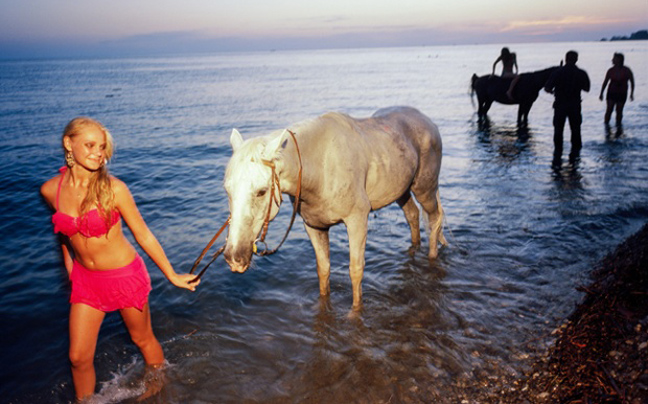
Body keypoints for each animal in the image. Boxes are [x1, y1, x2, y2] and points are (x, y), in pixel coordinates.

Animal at [224, 105, 446, 310]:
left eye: (261, 191)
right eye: (227, 190)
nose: (234, 257)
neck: (321, 166)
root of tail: (426, 120)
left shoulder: (357, 220)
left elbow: (356, 271)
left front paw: (355, 312)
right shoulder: (314, 226)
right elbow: (323, 270)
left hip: (424, 188)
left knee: (434, 218)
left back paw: (432, 256)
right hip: (402, 190)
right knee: (412, 215)